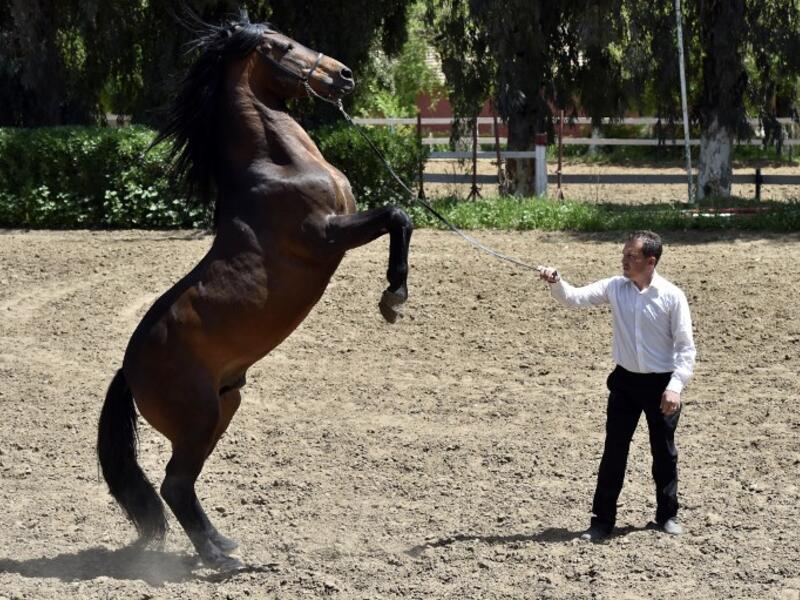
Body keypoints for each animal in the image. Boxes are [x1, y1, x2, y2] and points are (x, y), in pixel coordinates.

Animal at [97, 13, 412, 570]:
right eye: (283, 46)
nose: (344, 75)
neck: (278, 166)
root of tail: (128, 371)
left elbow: (401, 216)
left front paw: (396, 294)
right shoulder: (326, 235)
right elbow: (397, 214)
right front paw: (393, 296)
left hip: (225, 408)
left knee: (182, 484)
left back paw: (222, 544)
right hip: (200, 418)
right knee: (174, 484)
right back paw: (220, 560)